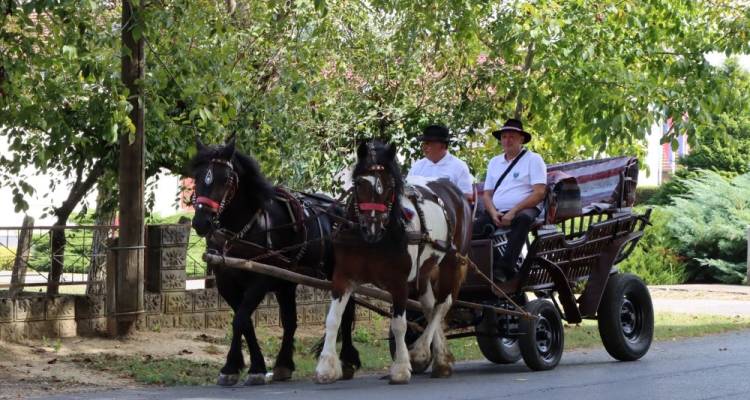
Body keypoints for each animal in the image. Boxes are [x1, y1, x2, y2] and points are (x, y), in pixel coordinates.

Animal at [191, 136, 362, 386]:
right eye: (196, 177)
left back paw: (348, 360)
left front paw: (249, 369)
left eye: (225, 179)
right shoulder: (225, 283)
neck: (245, 228)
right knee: (291, 320)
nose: (201, 222)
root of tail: (342, 212)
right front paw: (236, 367)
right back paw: (283, 364)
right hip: (286, 282)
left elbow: (240, 320)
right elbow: (245, 322)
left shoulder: (261, 280)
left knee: (346, 312)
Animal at [316, 141, 470, 384]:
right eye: (359, 183)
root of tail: (454, 191)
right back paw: (441, 359)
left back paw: (421, 352)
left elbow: (399, 325)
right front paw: (326, 367)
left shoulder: (399, 283)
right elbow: (333, 319)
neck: (370, 241)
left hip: (452, 263)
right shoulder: (343, 277)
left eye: (390, 186)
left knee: (441, 306)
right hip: (424, 270)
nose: (372, 226)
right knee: (429, 306)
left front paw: (401, 367)